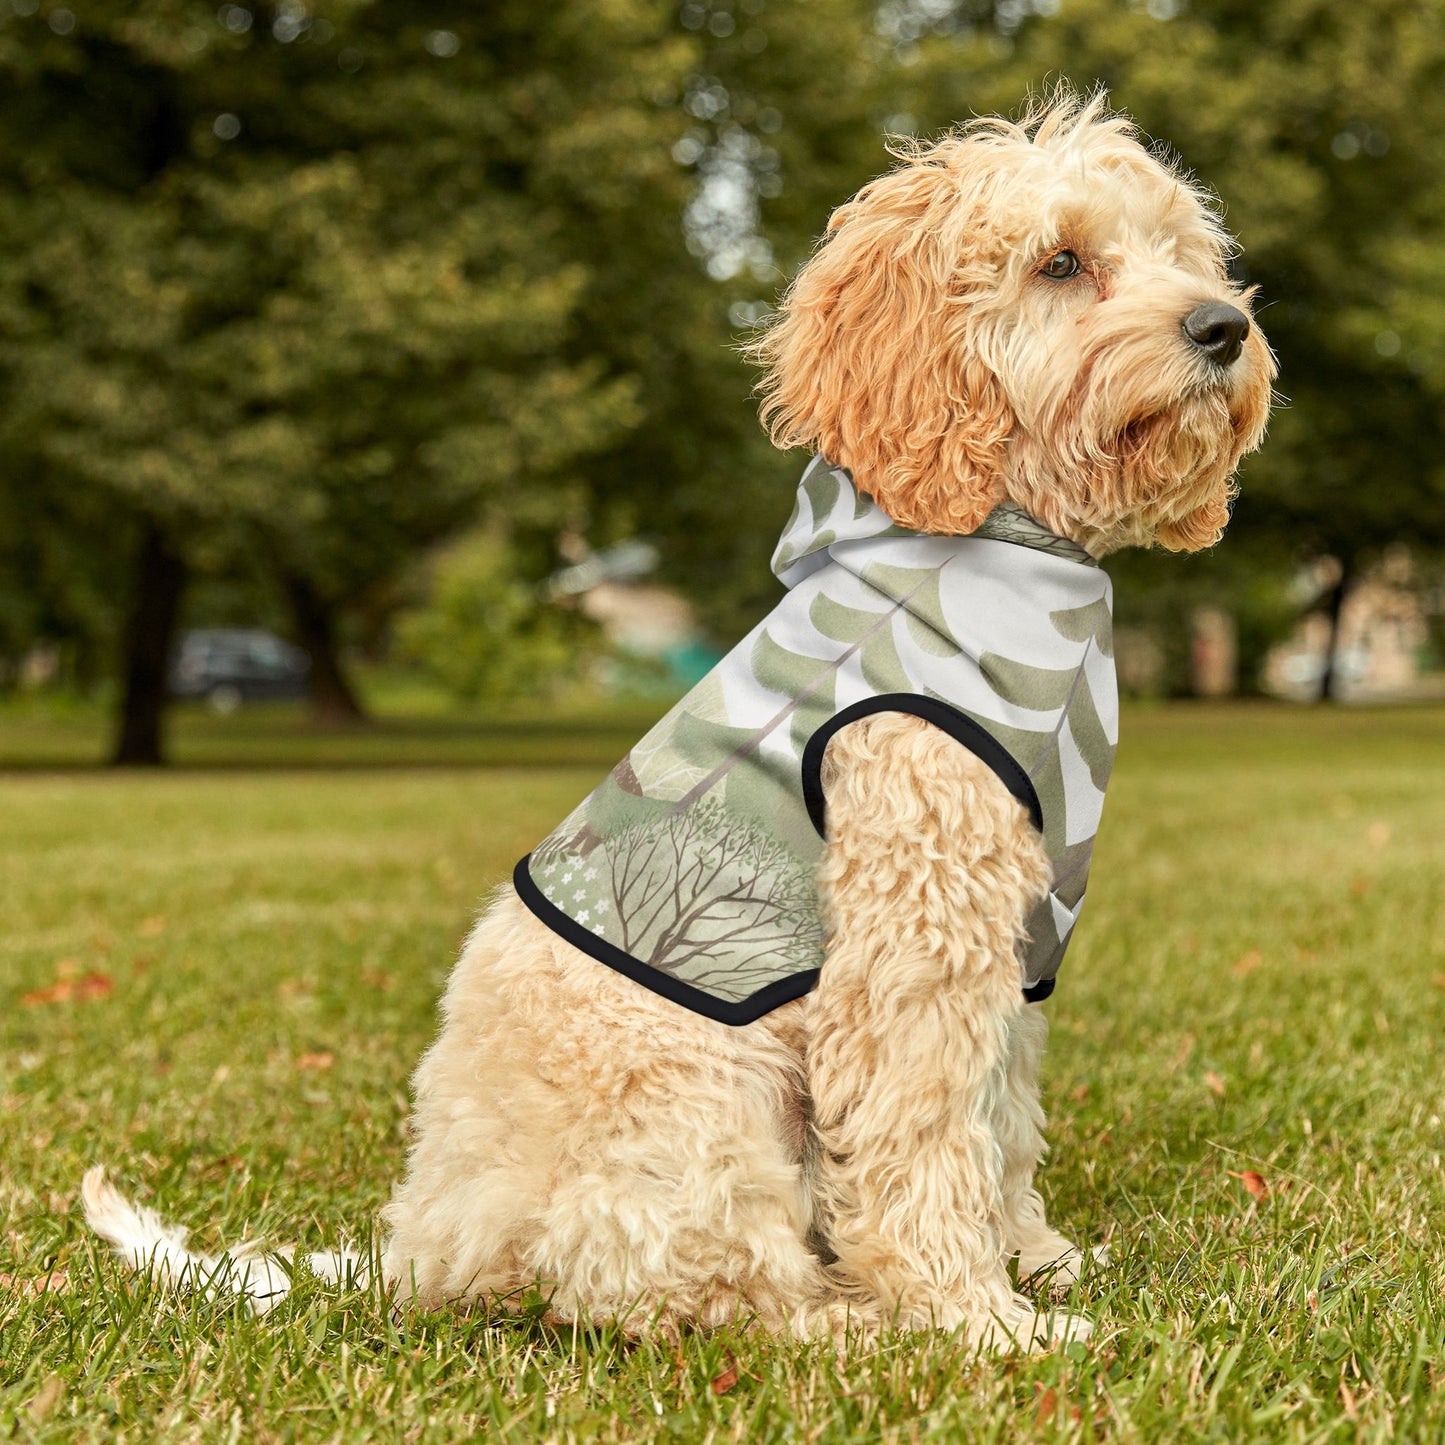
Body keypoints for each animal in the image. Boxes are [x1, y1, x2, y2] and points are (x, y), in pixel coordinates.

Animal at [84, 93, 1271, 1352]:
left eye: (1180, 252)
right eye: (1059, 262)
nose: (1222, 327)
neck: (1004, 544)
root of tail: (424, 1246)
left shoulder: (1014, 931)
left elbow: (998, 1117)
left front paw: (1034, 1259)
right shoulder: (912, 932)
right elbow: (922, 1132)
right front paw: (975, 1318)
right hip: (702, 1099)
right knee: (699, 1291)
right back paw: (852, 1322)